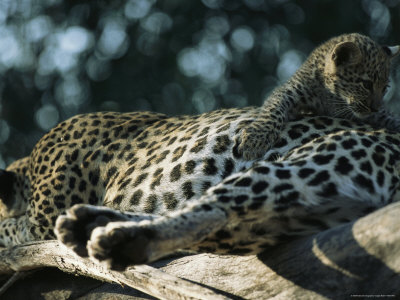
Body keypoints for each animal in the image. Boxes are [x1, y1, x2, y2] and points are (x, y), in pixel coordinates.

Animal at [238, 32, 400, 159]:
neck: (333, 97)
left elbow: (390, 118)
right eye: (366, 84)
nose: (375, 108)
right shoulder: (290, 91)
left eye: (385, 88)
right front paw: (255, 140)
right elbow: (273, 110)